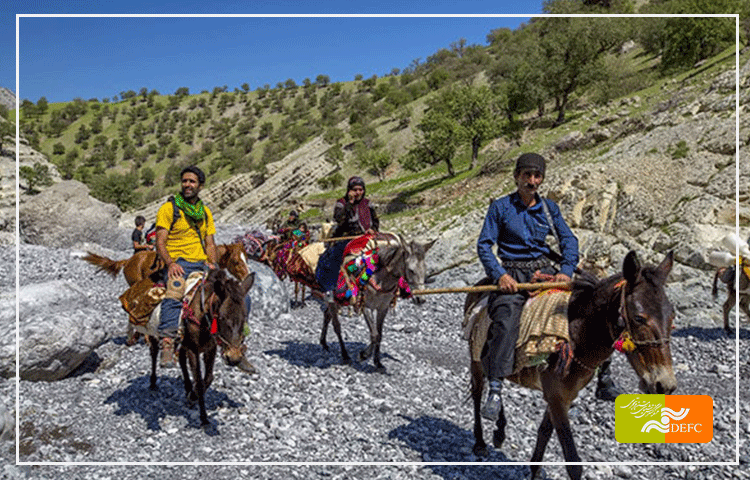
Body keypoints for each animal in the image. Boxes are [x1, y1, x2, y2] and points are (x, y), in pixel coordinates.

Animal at [145, 270, 258, 428]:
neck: (203, 318)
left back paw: (187, 387)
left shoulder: (211, 349)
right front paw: (202, 415)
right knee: (154, 353)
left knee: (181, 360)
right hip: (154, 334)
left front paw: (192, 396)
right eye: (222, 317)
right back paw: (153, 382)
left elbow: (208, 378)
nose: (234, 358)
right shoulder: (193, 350)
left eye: (244, 318)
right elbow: (199, 381)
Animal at [322, 232, 434, 372]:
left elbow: (379, 335)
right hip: (333, 300)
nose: (421, 299)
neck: (381, 279)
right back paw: (345, 355)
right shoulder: (366, 307)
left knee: (327, 315)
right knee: (337, 326)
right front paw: (364, 355)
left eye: (425, 270)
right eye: (411, 270)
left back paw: (323, 343)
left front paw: (377, 362)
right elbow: (374, 334)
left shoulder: (383, 308)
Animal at [468, 251, 680, 480]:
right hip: (476, 360)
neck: (574, 337)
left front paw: (535, 471)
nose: (664, 384)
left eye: (672, 317)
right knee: (478, 392)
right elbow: (573, 461)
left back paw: (499, 431)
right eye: (639, 318)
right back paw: (480, 441)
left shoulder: (563, 396)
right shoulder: (556, 397)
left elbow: (544, 432)